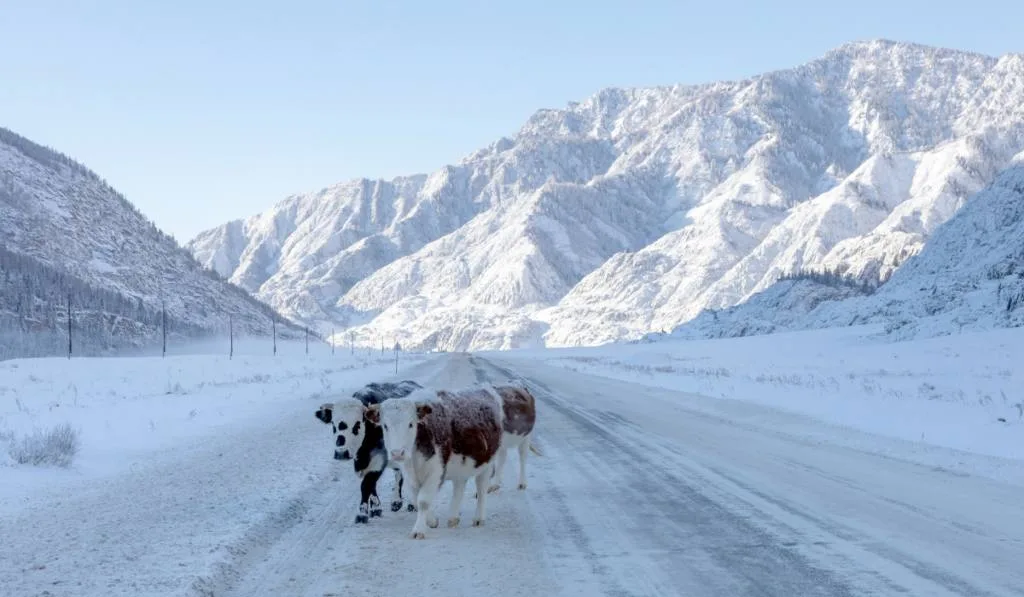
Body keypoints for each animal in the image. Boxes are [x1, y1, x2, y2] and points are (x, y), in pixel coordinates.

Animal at [313, 380, 421, 524]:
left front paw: (362, 514)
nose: (341, 453)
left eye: (357, 424)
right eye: (333, 425)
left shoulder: (379, 459)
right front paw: (376, 509)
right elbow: (372, 486)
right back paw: (396, 502)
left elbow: (366, 485)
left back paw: (408, 503)